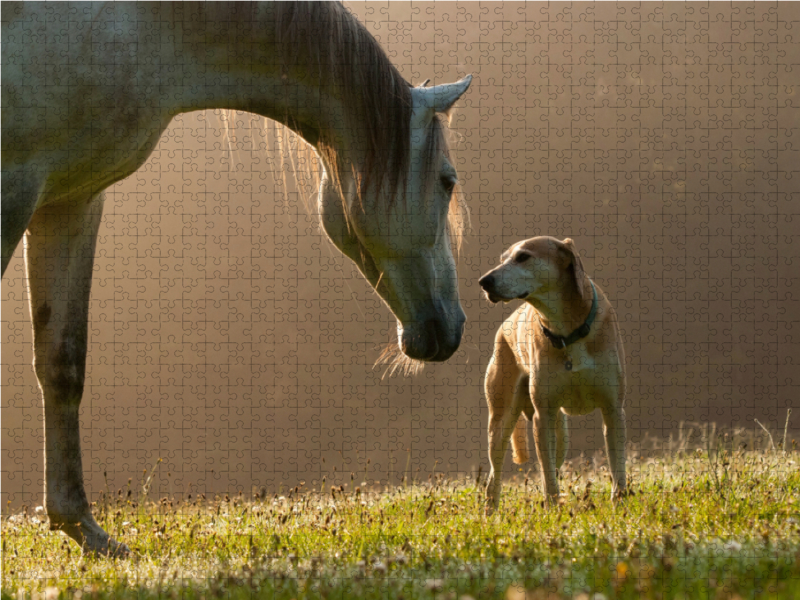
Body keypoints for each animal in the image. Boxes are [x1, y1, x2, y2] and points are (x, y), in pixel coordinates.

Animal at [0, 2, 472, 556]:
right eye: (447, 181)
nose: (453, 326)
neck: (138, 22)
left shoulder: (70, 200)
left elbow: (62, 363)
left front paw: (80, 525)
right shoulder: (14, 190)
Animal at [482, 236, 624, 510]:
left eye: (523, 257)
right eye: (502, 259)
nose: (484, 281)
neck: (567, 330)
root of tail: (504, 327)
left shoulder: (613, 409)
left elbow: (617, 466)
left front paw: (621, 503)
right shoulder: (543, 415)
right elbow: (547, 475)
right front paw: (551, 509)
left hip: (562, 435)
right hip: (501, 420)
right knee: (494, 476)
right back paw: (490, 512)